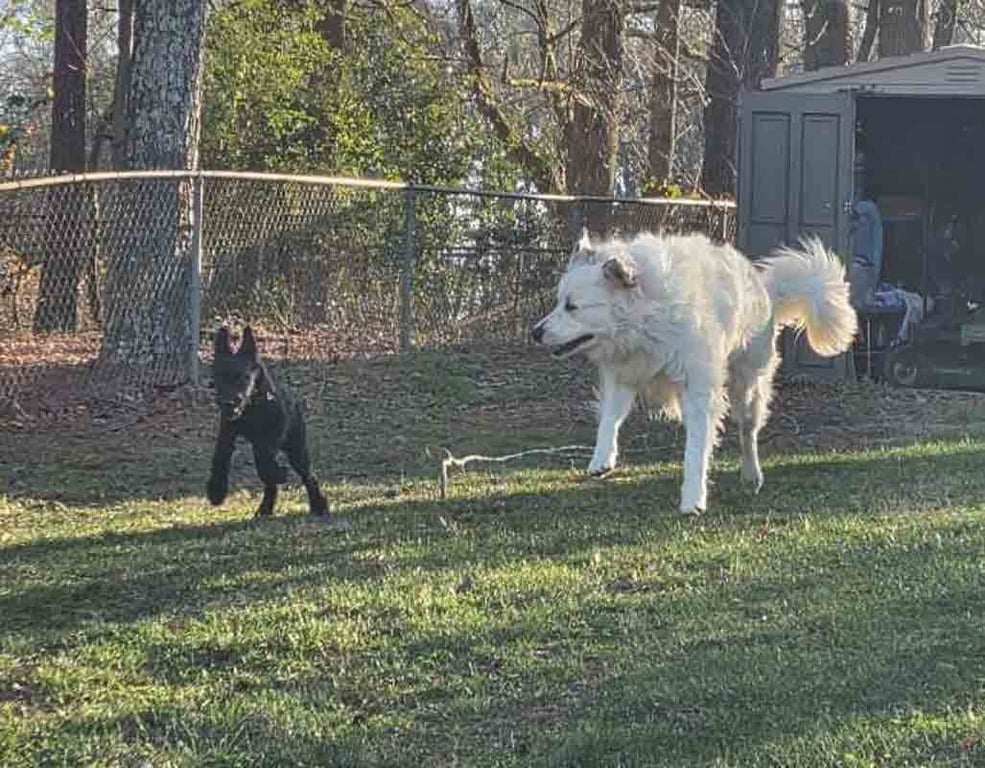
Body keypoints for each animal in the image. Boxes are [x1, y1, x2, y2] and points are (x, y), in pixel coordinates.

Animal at [207, 326, 331, 518]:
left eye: (243, 376)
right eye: (219, 376)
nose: (228, 403)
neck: (252, 406)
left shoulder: (272, 434)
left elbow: (265, 461)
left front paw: (279, 473)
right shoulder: (227, 433)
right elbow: (220, 457)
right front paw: (216, 491)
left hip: (296, 448)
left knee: (308, 476)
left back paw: (318, 504)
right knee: (269, 480)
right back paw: (265, 508)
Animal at [532, 230, 857, 514]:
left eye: (572, 306)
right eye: (559, 302)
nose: (535, 332)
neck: (645, 318)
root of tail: (764, 288)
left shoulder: (699, 390)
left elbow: (696, 450)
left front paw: (693, 499)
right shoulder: (624, 375)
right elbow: (610, 419)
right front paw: (602, 459)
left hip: (746, 387)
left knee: (747, 432)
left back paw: (752, 474)